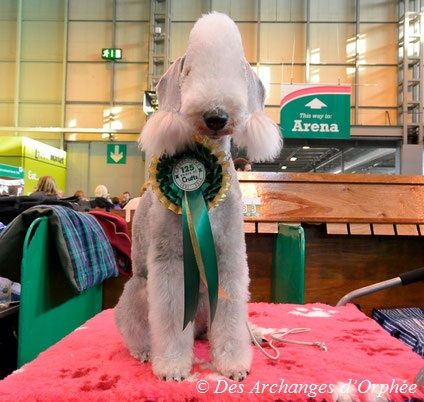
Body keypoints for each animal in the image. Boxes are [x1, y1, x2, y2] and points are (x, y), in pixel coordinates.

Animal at [114, 11, 284, 384]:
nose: (216, 116)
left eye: (236, 71)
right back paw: (146, 351)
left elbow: (232, 316)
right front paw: (172, 367)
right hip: (137, 290)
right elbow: (170, 316)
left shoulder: (231, 255)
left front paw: (233, 364)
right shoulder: (170, 261)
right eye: (190, 71)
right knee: (134, 327)